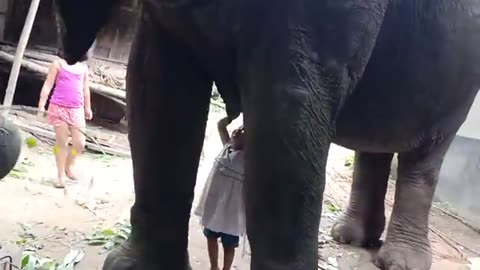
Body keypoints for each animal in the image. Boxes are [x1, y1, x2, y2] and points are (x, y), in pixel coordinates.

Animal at [55, 0, 480, 270]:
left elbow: (290, 104)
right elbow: (156, 86)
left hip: (459, 85)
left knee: (425, 157)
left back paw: (400, 262)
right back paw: (348, 237)